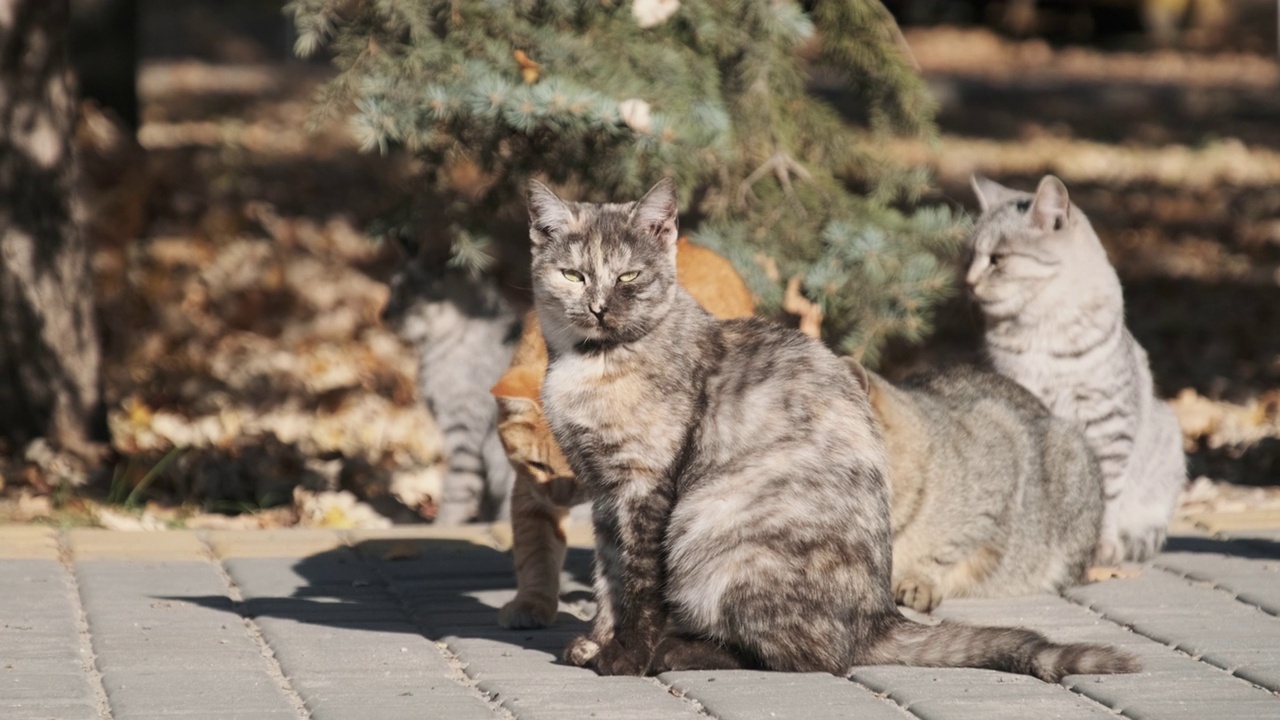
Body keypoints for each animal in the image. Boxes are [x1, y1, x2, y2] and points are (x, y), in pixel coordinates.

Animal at [486, 238, 747, 625]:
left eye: (578, 474)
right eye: (539, 465)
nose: (560, 500)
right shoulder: (530, 490)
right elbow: (535, 551)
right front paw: (532, 602)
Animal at [967, 174, 1187, 561]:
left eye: (997, 259)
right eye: (970, 255)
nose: (967, 281)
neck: (1039, 331)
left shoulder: (1107, 420)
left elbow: (1107, 494)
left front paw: (1100, 545)